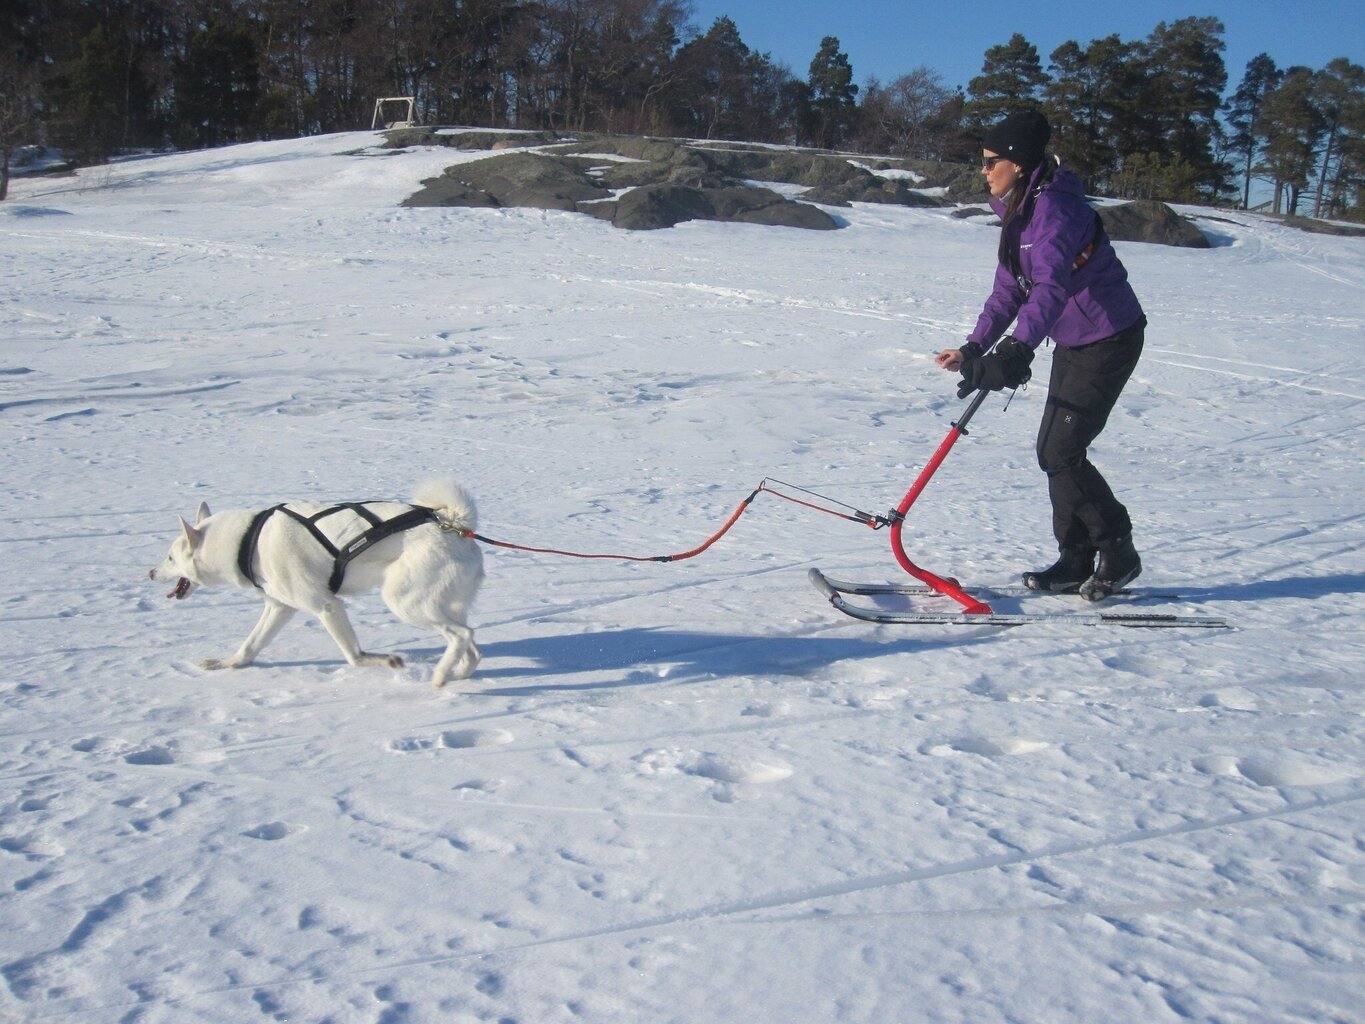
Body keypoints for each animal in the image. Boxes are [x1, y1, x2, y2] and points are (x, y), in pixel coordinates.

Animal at [151, 480, 485, 690]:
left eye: (170, 557)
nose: (151, 573)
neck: (249, 540)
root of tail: (455, 525)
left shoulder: (326, 606)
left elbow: (354, 657)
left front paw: (385, 660)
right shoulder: (279, 607)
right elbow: (250, 645)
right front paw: (227, 663)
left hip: (405, 603)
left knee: (461, 635)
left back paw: (440, 676)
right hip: (441, 606)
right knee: (470, 643)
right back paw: (456, 674)